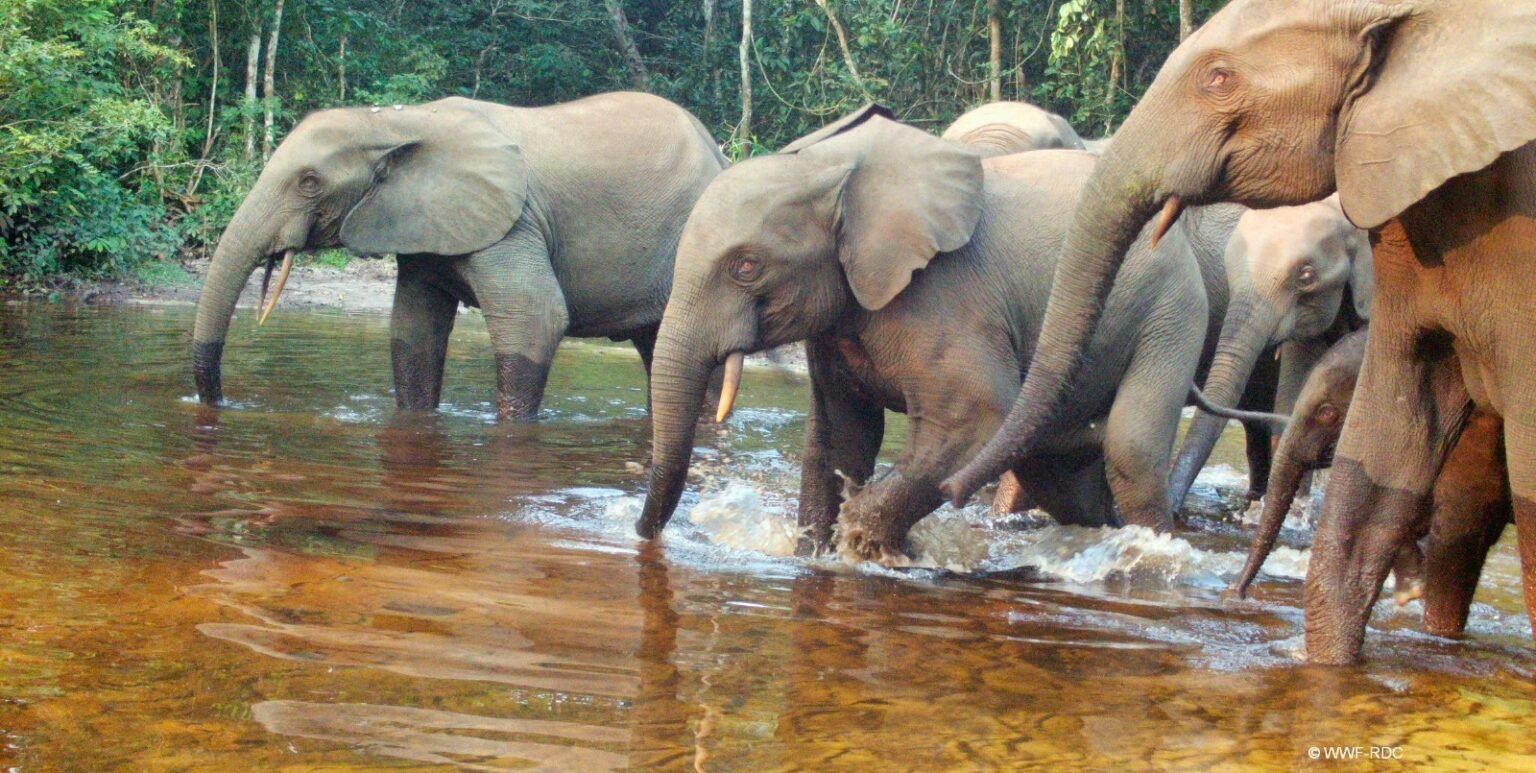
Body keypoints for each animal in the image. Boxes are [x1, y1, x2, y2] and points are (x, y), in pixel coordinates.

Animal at [190, 92, 728, 420]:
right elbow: (413, 331)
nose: (220, 403)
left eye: (308, 182)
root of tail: (719, 152)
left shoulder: (512, 223)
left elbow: (535, 320)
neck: (398, 119)